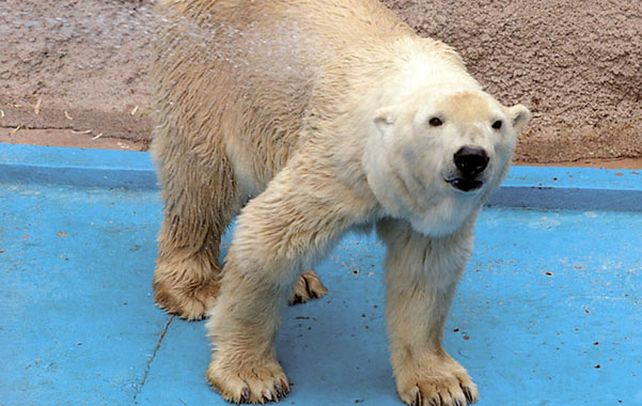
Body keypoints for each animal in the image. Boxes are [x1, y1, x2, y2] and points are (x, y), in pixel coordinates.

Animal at [150, 0, 531, 405]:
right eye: (435, 121)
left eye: (497, 124)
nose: (472, 158)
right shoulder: (340, 159)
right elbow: (268, 237)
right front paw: (252, 376)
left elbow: (424, 270)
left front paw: (441, 384)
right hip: (207, 76)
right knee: (200, 182)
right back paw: (194, 290)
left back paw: (300, 283)